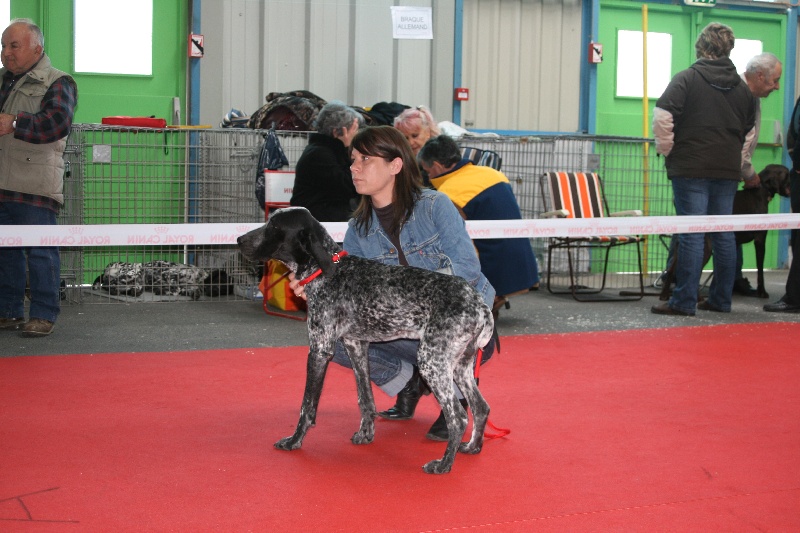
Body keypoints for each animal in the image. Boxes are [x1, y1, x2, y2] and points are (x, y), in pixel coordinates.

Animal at [237, 207, 495, 474]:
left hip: (432, 362)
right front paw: (366, 433)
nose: (239, 240)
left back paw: (444, 464)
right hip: (460, 365)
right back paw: (472, 447)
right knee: (481, 407)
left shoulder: (320, 349)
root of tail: (479, 305)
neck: (327, 271)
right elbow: (365, 398)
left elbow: (307, 406)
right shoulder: (356, 346)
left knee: (458, 416)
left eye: (274, 227)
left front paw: (294, 440)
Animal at [658, 164, 790, 300]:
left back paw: (665, 294)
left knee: (672, 269)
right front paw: (762, 292)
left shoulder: (734, 243)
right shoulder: (760, 240)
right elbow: (760, 270)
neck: (760, 191)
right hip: (705, 248)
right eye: (788, 175)